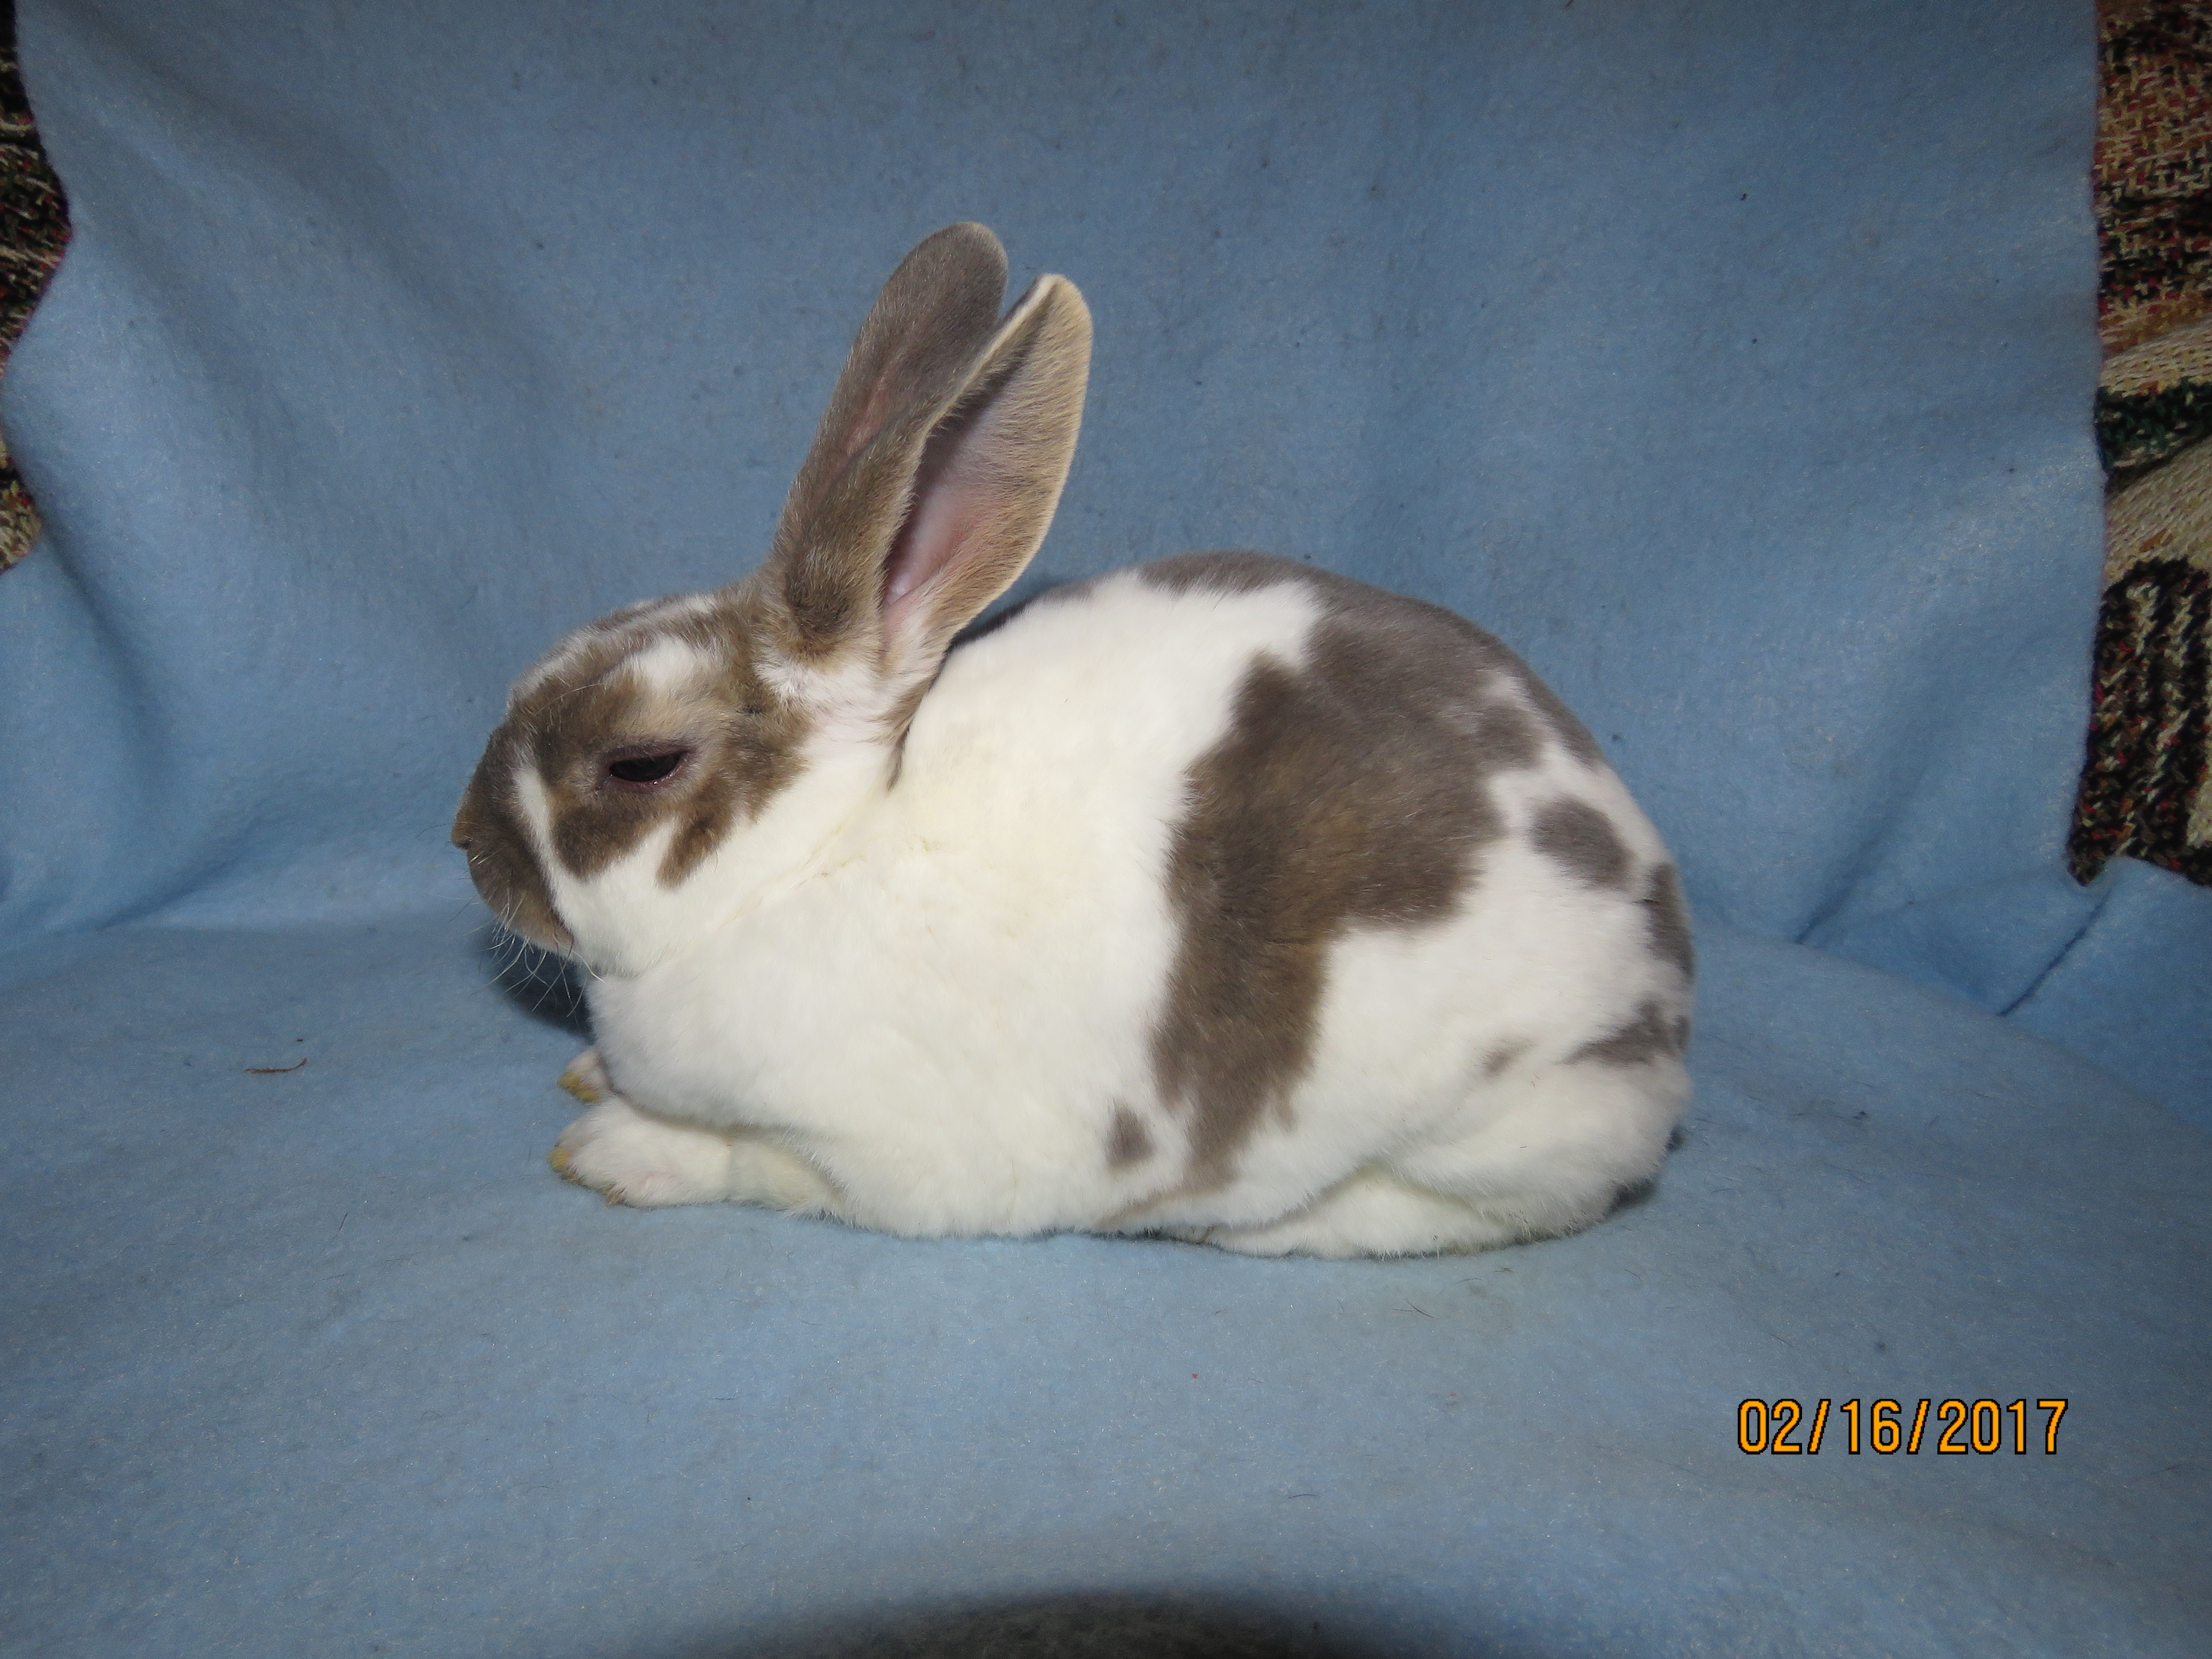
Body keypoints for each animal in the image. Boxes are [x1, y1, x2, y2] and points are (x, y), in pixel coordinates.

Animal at [452, 223, 1692, 1258]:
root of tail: (1668, 982)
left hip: (1486, 1124)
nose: (465, 843)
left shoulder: (887, 1164)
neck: (809, 858)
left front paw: (618, 1147)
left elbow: (747, 1162)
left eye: (641, 764)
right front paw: (591, 1075)